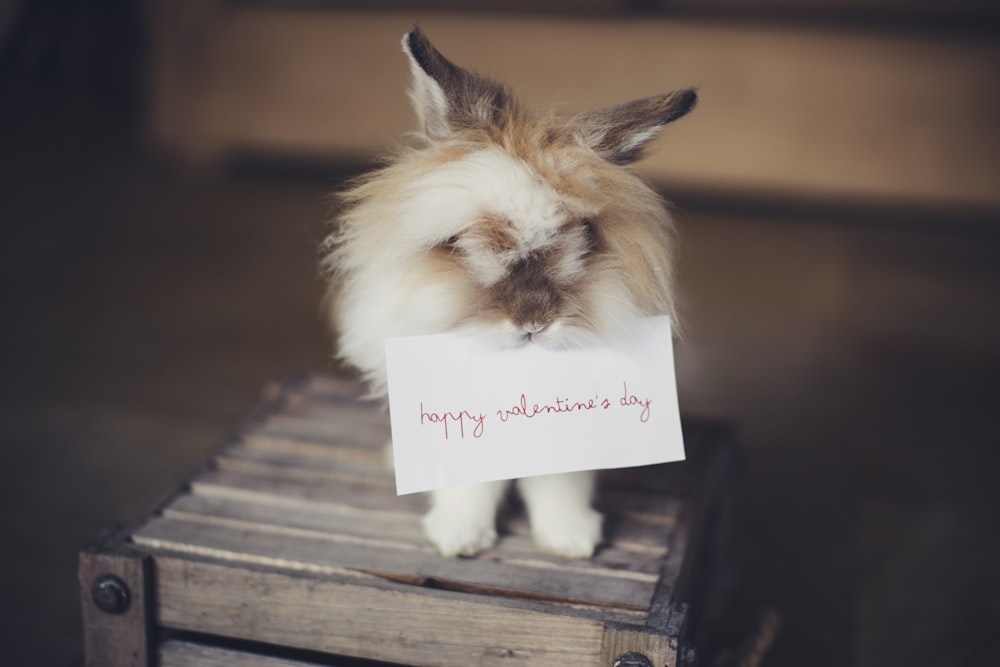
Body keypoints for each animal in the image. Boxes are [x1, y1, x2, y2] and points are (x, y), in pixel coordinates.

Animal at [320, 27, 696, 560]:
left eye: (584, 240)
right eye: (462, 244)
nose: (532, 322)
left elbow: (560, 481)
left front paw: (571, 539)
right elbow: (469, 482)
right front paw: (458, 538)